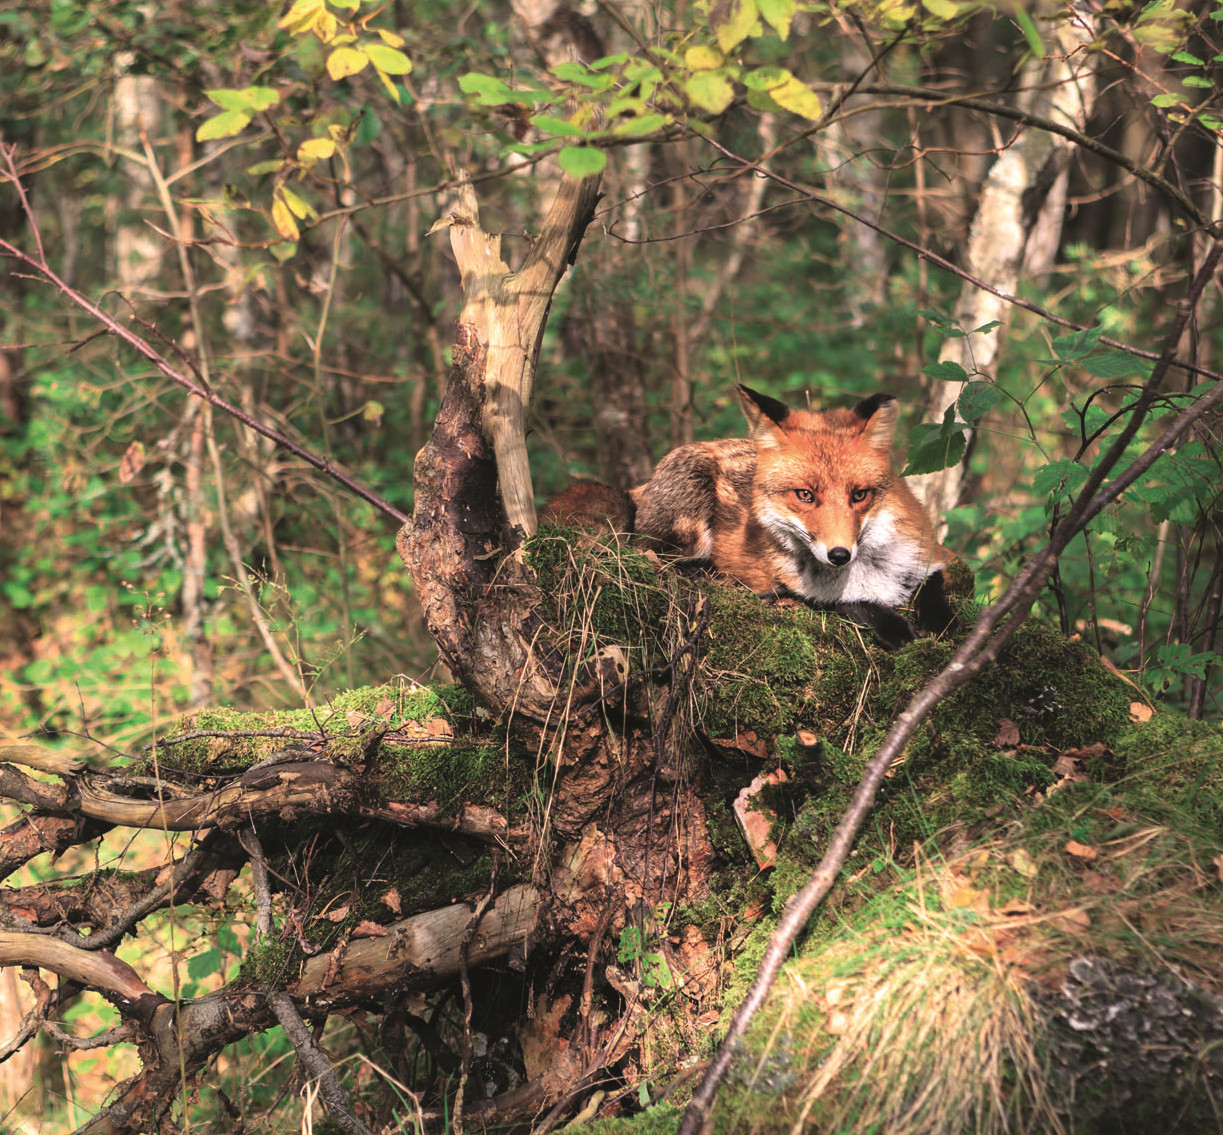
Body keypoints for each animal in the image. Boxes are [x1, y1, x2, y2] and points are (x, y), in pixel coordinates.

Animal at [625, 385, 956, 649]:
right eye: (805, 495)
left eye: (860, 495)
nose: (840, 555)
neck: (872, 566)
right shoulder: (794, 584)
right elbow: (849, 600)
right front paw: (893, 626)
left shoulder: (924, 555)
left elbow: (933, 584)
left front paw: (939, 621)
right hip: (692, 520)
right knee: (656, 555)